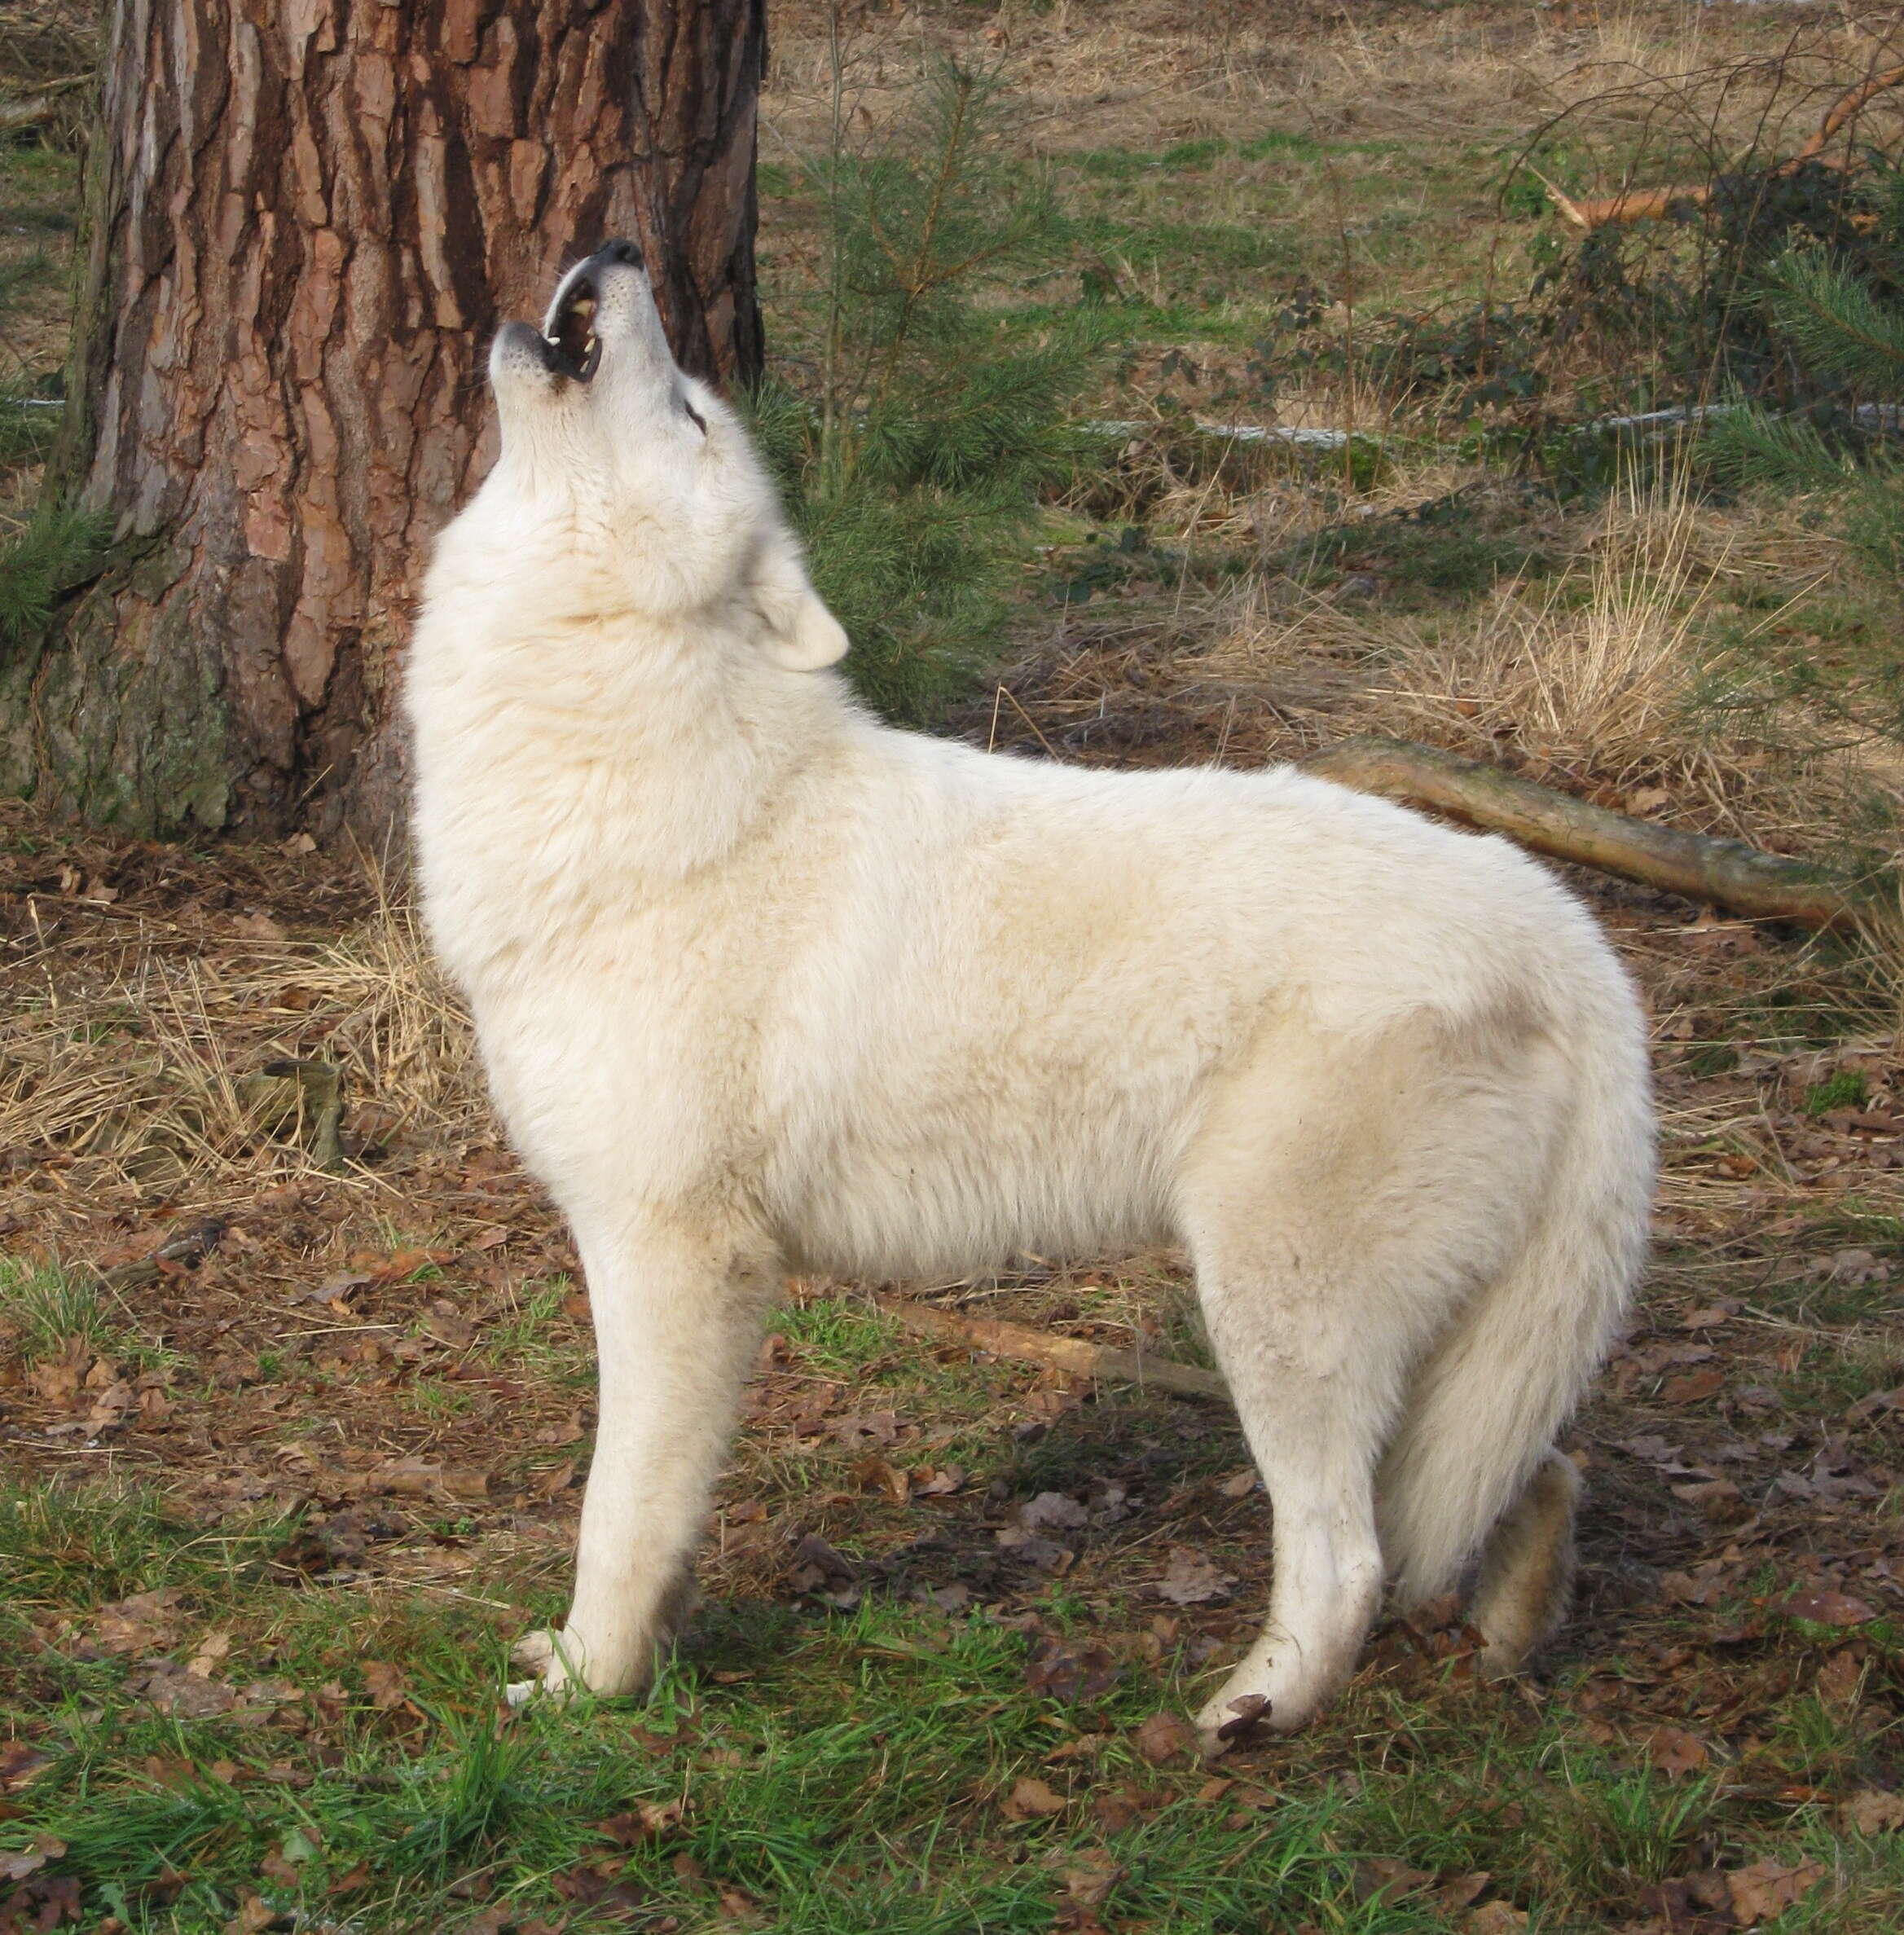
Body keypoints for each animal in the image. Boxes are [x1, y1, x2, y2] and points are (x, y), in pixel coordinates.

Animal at [411, 238, 1648, 1741]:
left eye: (695, 410)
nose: (622, 251)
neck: (638, 745)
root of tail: (1569, 937)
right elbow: (672, 1516)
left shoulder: (672, 1253)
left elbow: (618, 1511)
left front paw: (593, 1689)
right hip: (1438, 1354)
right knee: (1528, 1474)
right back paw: (1510, 1641)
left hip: (1273, 1314)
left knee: (1349, 1555)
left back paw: (1250, 1713)